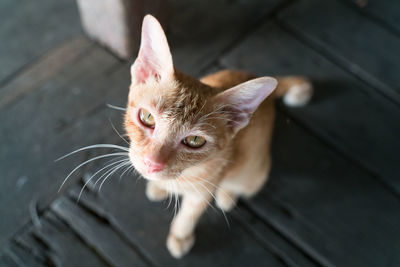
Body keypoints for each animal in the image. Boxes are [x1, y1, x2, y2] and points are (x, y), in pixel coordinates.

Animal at [125, 15, 312, 260]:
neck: (184, 176)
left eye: (194, 141)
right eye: (147, 117)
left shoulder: (204, 190)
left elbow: (189, 214)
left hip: (254, 173)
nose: (152, 164)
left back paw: (227, 195)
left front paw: (180, 236)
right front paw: (159, 186)